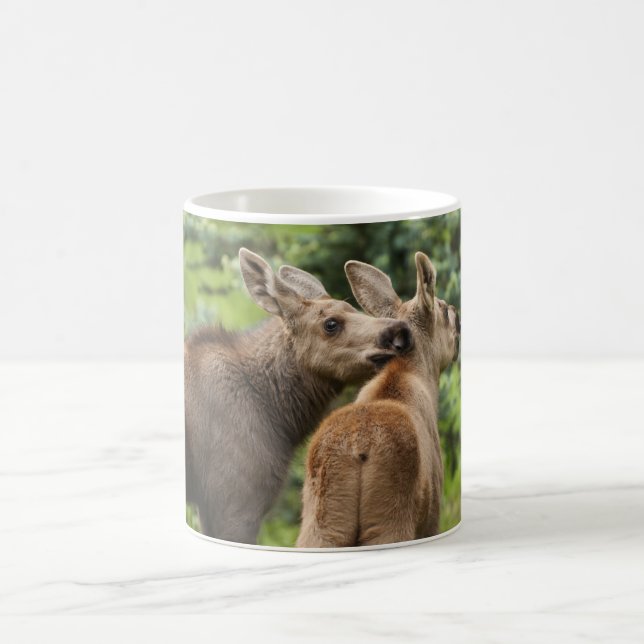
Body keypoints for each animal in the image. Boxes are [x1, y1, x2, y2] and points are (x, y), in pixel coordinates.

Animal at [296, 252, 460, 548]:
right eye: (443, 310)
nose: (457, 313)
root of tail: (358, 448)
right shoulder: (432, 515)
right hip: (390, 520)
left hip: (322, 527)